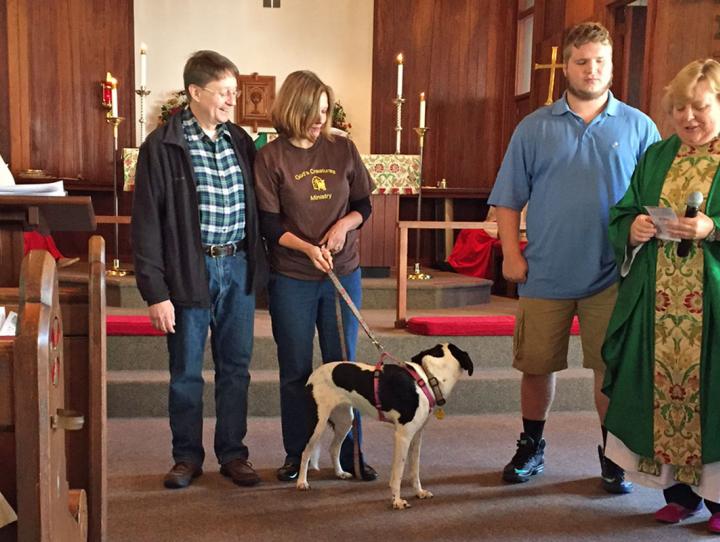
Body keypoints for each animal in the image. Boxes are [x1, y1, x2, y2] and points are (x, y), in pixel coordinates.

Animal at [296, 344, 472, 510]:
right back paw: (301, 482)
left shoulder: (416, 437)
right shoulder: (403, 436)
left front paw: (419, 492)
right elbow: (398, 474)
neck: (428, 378)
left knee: (333, 448)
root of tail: (313, 375)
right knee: (305, 452)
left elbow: (414, 471)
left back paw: (339, 473)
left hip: (344, 420)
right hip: (318, 424)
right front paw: (397, 501)